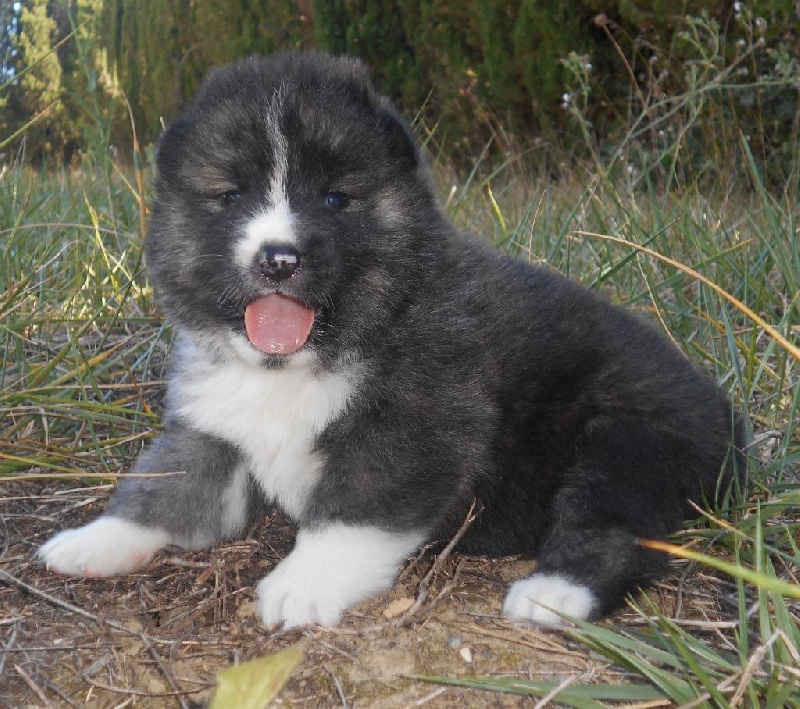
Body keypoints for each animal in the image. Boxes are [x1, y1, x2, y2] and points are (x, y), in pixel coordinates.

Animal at [39, 51, 743, 628]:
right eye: (230, 195)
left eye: (334, 198)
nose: (278, 259)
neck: (305, 361)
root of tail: (729, 420)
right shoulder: (214, 430)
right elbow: (164, 487)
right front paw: (96, 539)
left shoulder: (415, 425)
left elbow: (356, 509)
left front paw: (304, 583)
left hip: (625, 440)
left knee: (612, 526)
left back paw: (552, 593)